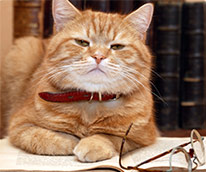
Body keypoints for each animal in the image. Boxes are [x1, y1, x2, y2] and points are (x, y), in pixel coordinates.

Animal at [3, 0, 159, 162]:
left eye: (117, 46)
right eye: (82, 42)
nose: (98, 56)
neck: (91, 101)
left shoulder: (143, 136)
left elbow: (109, 136)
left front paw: (92, 143)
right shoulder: (19, 125)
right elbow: (44, 137)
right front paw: (70, 141)